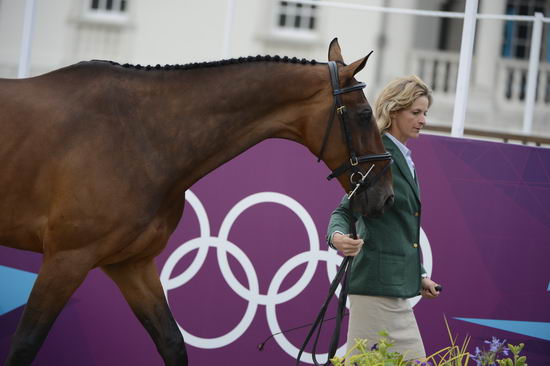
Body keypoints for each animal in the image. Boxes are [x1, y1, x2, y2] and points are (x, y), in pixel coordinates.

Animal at [2, 38, 394, 364]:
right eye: (364, 115)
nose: (386, 196)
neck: (136, 133)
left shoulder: (131, 263)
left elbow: (172, 342)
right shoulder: (66, 259)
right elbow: (24, 345)